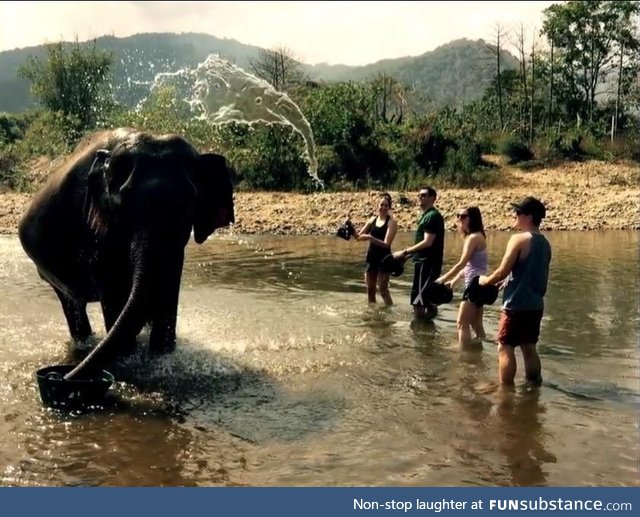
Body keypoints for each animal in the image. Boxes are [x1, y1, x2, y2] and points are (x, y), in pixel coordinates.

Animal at [19, 128, 235, 378]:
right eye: (123, 203)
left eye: (190, 201)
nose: (63, 377)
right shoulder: (96, 230)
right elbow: (114, 290)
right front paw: (129, 359)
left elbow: (168, 286)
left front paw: (161, 358)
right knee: (72, 305)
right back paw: (84, 344)